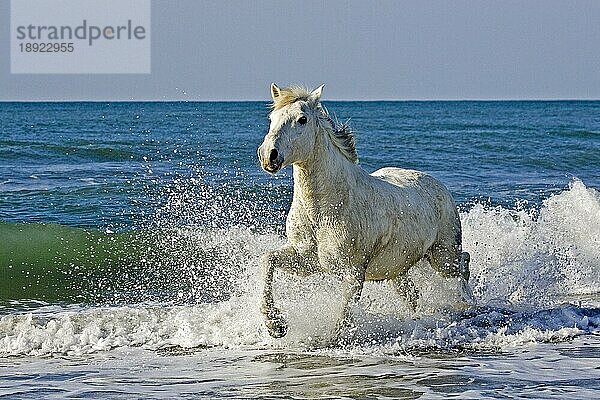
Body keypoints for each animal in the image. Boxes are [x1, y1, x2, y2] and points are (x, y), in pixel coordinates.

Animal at [255, 83, 472, 340]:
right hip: (398, 269)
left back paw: (466, 303)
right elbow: (268, 259)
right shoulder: (306, 260)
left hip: (443, 256)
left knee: (462, 265)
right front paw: (275, 324)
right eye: (272, 118)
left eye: (302, 119)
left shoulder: (352, 273)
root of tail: (439, 185)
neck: (322, 213)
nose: (269, 155)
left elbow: (344, 316)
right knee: (414, 295)